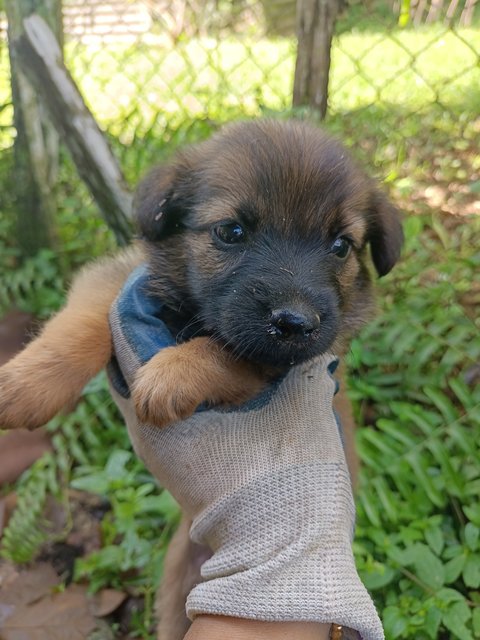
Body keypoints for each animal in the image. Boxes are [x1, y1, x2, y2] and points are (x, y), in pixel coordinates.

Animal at [0, 119, 402, 636]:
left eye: (340, 245)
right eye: (231, 231)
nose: (297, 322)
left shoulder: (273, 364)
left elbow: (225, 350)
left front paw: (171, 375)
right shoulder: (122, 280)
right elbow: (85, 320)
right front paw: (25, 385)